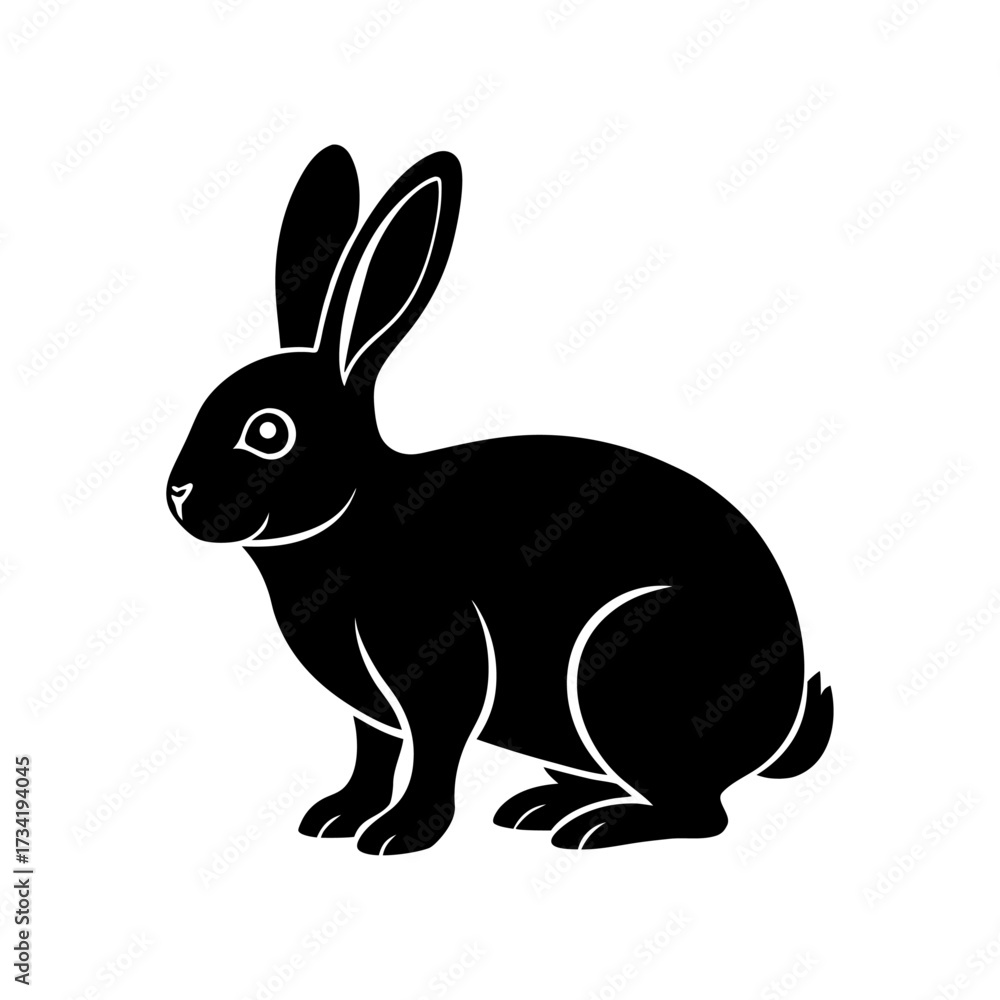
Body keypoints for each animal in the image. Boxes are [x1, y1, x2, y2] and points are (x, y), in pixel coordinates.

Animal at [167, 145, 833, 854]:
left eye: (269, 432)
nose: (176, 492)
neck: (354, 516)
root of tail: (781, 723)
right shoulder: (367, 710)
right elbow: (372, 754)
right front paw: (336, 818)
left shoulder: (436, 664)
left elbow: (433, 753)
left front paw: (398, 835)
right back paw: (542, 808)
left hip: (625, 676)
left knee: (703, 814)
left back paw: (595, 828)